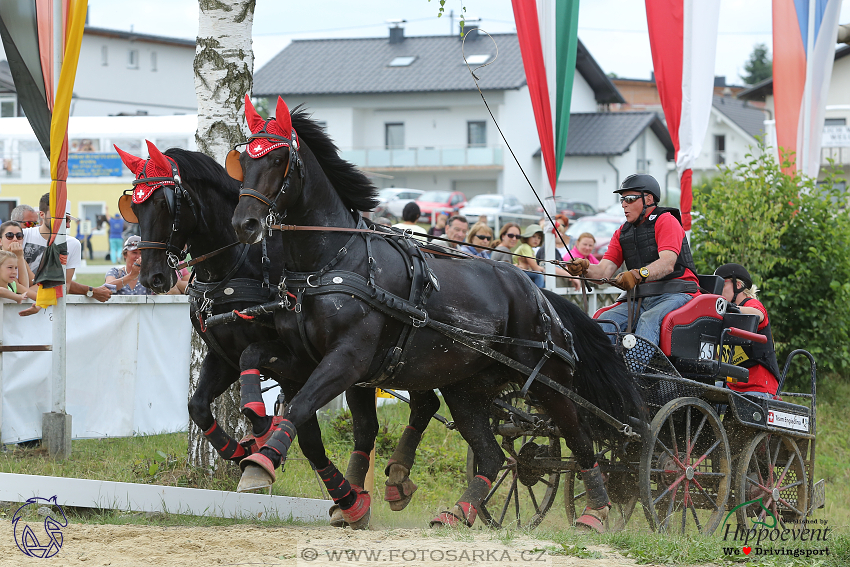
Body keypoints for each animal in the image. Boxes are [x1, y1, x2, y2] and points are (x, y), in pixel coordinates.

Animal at [112, 142, 438, 528]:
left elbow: (302, 426)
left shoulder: (293, 362)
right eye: (134, 206)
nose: (153, 277)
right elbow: (199, 405)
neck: (239, 265)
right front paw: (243, 449)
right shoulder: (223, 356)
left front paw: (265, 435)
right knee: (404, 411)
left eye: (165, 204)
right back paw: (396, 480)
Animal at [227, 98, 644, 532]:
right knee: (492, 455)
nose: (244, 223)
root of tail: (539, 294)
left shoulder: (347, 360)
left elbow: (302, 406)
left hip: (549, 382)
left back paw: (596, 510)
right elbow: (259, 364)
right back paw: (459, 510)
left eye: (278, 159)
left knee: (579, 439)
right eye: (243, 159)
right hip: (465, 388)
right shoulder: (309, 360)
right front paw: (258, 420)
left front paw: (260, 463)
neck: (333, 262)